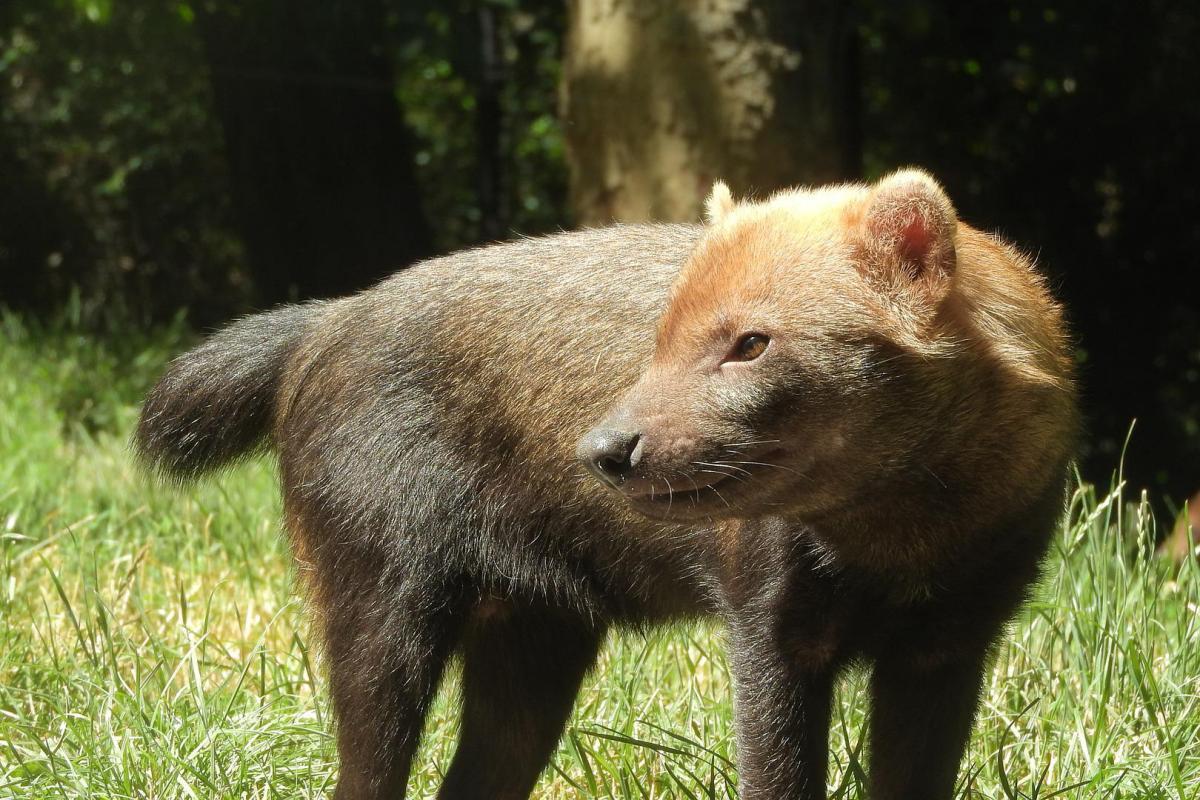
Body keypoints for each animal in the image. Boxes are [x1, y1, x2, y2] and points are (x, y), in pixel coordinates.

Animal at [136, 165, 1075, 796]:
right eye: (660, 333)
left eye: (751, 342)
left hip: (530, 643)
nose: (604, 448)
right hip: (383, 616)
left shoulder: (948, 647)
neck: (902, 543)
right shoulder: (771, 637)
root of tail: (325, 320)